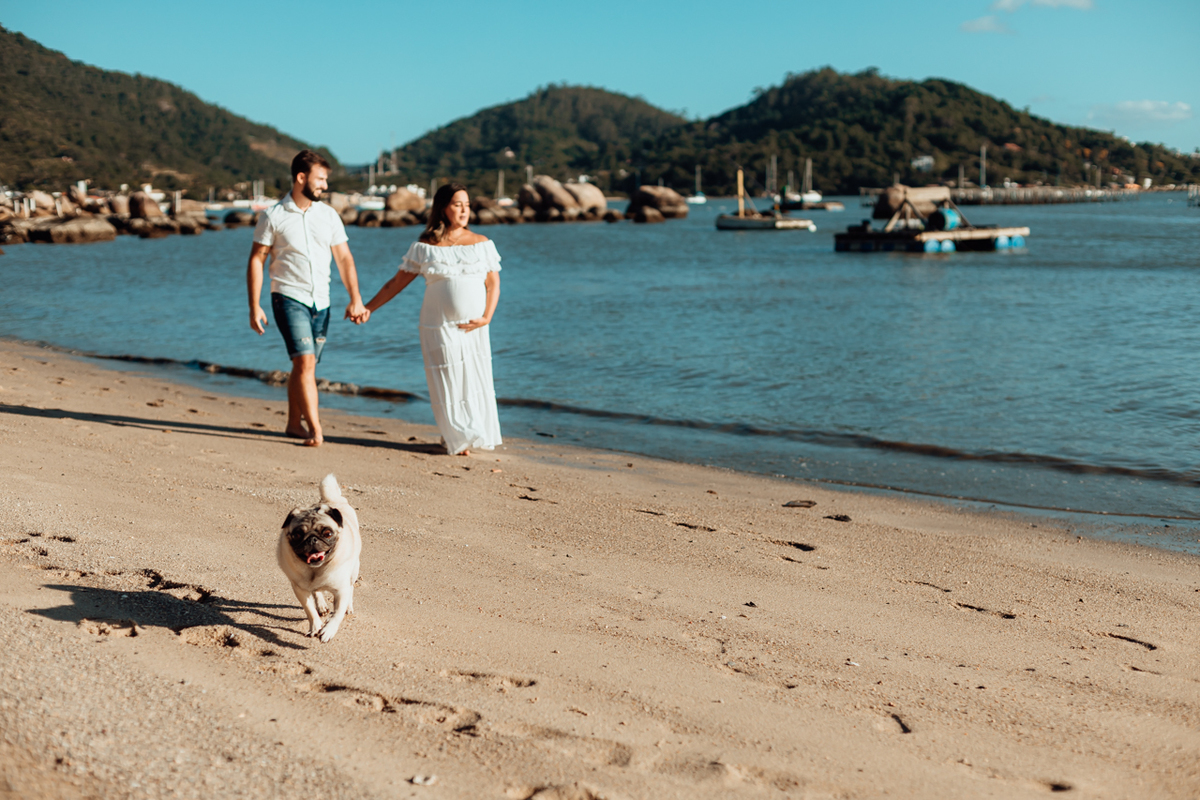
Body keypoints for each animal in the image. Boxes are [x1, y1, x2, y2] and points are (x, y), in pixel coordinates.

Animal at [277, 474, 362, 642]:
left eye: (328, 533)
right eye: (297, 535)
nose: (312, 539)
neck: (316, 570)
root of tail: (331, 501)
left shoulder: (341, 590)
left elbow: (337, 614)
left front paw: (328, 630)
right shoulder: (300, 590)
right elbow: (310, 610)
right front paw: (316, 626)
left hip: (354, 570)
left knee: (350, 589)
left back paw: (348, 607)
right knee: (317, 592)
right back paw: (321, 606)